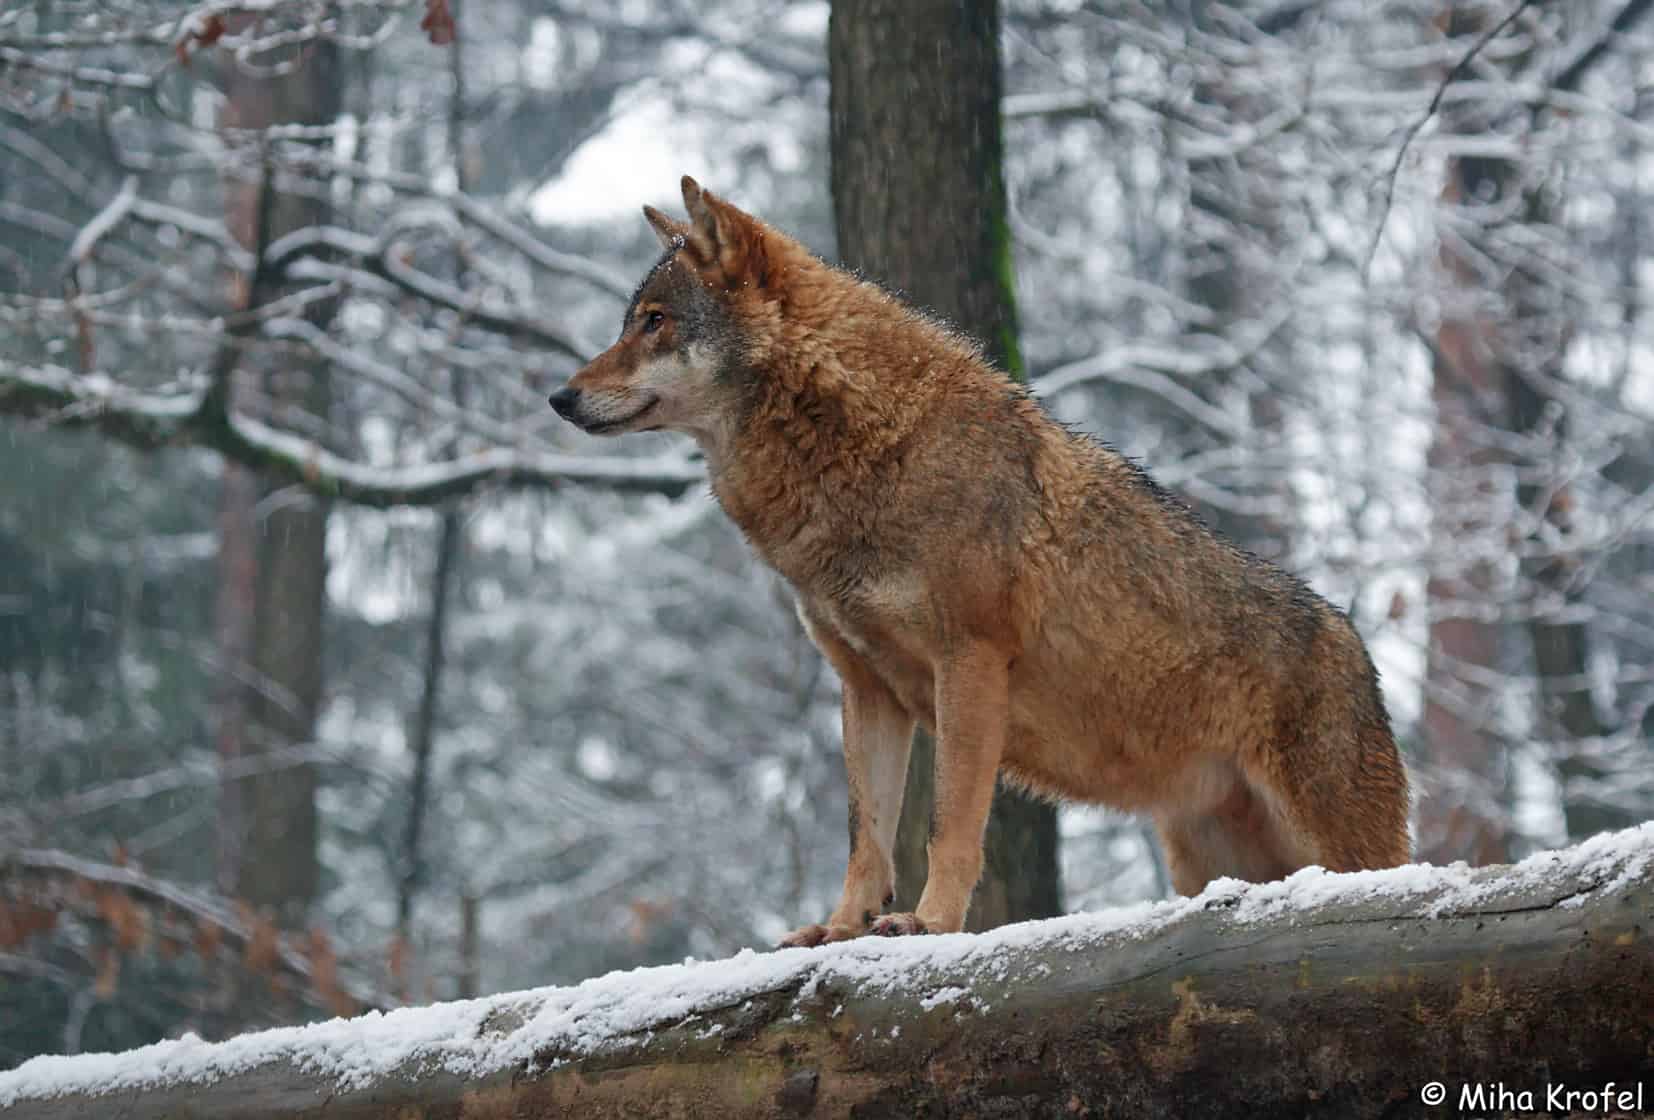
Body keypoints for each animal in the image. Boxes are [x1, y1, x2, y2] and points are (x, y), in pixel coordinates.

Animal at [552, 177, 1409, 946]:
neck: (865, 450)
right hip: (1205, 856)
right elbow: (867, 835)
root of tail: (1359, 652)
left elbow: (947, 824)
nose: (559, 398)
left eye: (656, 322)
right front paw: (838, 929)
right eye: (630, 322)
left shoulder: (969, 663)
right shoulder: (867, 689)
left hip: (1335, 848)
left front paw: (928, 924)